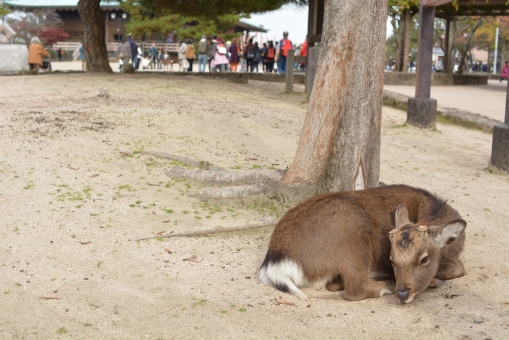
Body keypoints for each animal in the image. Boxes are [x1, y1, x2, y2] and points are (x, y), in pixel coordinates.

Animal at [258, 185, 464, 304]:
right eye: (392, 259)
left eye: (424, 259)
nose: (403, 293)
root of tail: (275, 262)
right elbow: (459, 268)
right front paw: (435, 280)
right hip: (354, 238)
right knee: (354, 289)